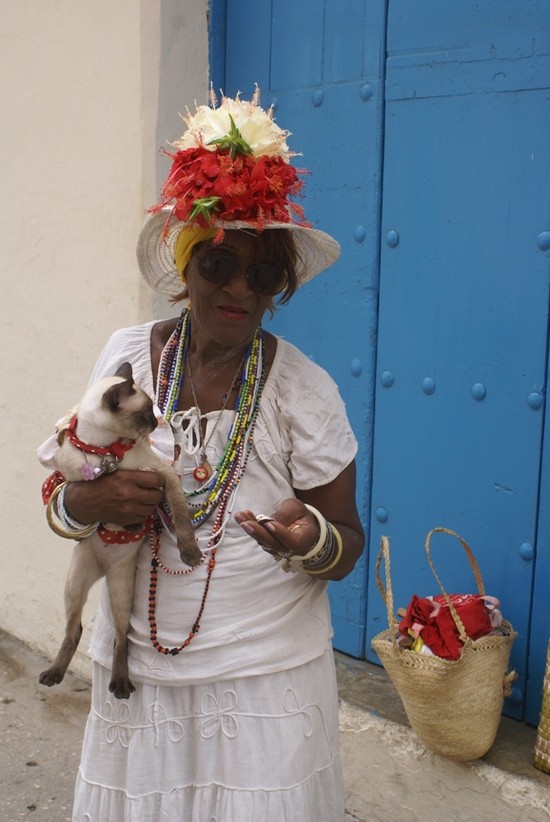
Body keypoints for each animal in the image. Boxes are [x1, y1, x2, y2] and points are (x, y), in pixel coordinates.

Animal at [39, 361, 201, 699]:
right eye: (144, 414)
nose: (155, 423)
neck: (106, 446)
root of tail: (102, 570)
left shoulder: (161, 476)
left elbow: (180, 518)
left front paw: (189, 554)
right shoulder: (72, 470)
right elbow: (91, 479)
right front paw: (121, 517)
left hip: (121, 590)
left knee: (120, 635)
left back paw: (120, 685)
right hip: (74, 584)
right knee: (74, 629)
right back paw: (54, 674)